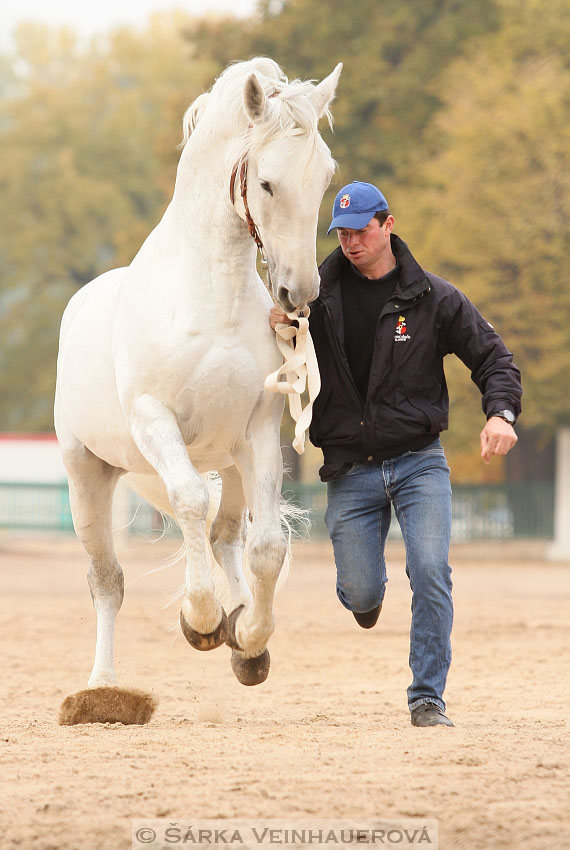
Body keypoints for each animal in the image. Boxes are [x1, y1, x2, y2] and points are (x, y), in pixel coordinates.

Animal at [53, 54, 340, 704]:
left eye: (325, 178)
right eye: (266, 183)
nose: (300, 293)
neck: (210, 299)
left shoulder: (257, 432)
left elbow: (266, 547)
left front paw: (249, 636)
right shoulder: (155, 420)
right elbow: (186, 500)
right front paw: (202, 619)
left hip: (229, 463)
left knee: (227, 538)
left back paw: (243, 638)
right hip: (89, 475)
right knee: (107, 579)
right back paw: (102, 688)